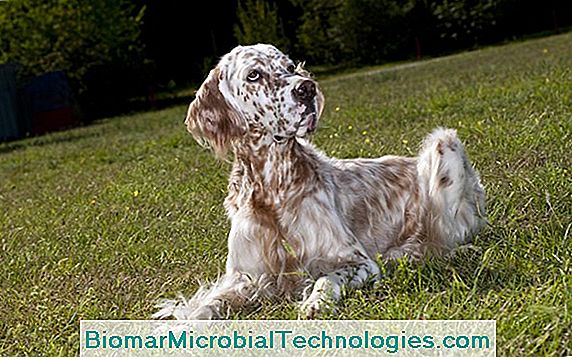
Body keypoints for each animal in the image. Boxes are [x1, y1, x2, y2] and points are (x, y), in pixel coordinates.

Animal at [154, 43, 484, 318]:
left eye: (289, 66)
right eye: (254, 75)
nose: (306, 88)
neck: (274, 186)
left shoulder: (357, 261)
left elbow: (326, 278)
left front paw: (315, 303)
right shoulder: (246, 276)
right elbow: (207, 305)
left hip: (444, 144)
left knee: (454, 232)